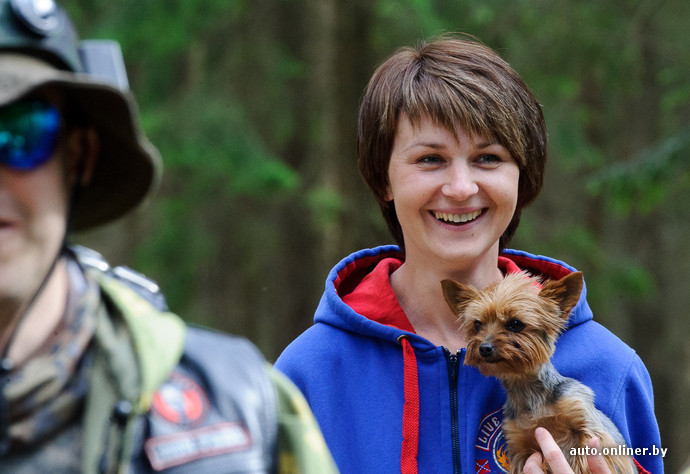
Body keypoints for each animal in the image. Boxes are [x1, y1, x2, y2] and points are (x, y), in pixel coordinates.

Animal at [441, 271, 635, 473]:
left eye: (515, 324)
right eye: (477, 325)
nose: (484, 348)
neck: (528, 390)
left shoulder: (586, 423)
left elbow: (585, 455)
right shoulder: (520, 446)